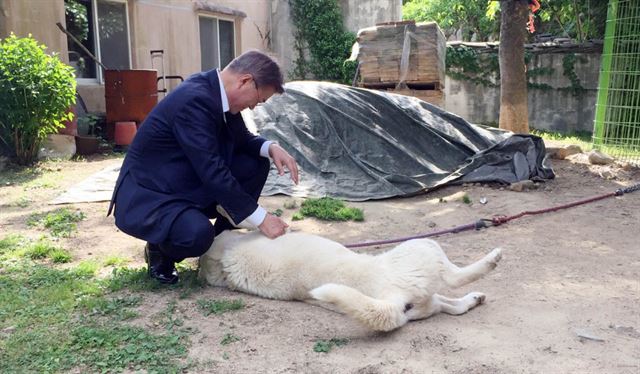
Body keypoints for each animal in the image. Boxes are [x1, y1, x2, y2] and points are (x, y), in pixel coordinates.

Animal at [198, 231, 502, 334]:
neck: (226, 261)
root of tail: (394, 300)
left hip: (427, 299)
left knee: (454, 306)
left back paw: (475, 298)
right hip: (425, 247)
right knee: (456, 277)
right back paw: (492, 259)